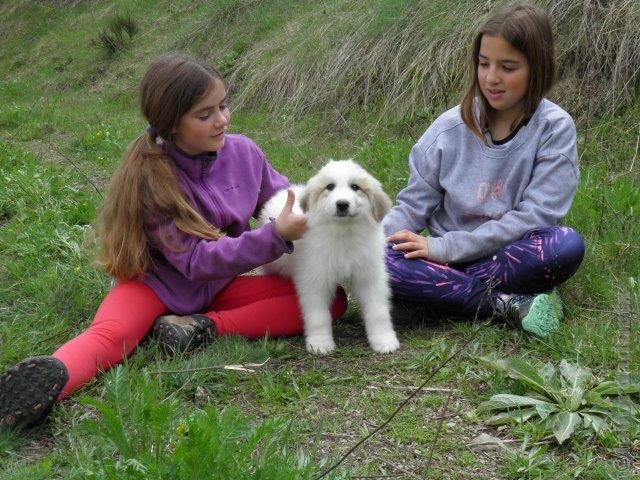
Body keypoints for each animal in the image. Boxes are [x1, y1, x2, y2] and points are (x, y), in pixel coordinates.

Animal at [260, 159, 400, 354]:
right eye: (330, 186)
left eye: (355, 187)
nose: (342, 204)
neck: (343, 233)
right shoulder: (315, 280)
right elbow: (318, 316)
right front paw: (320, 343)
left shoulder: (370, 277)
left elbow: (378, 311)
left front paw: (384, 340)